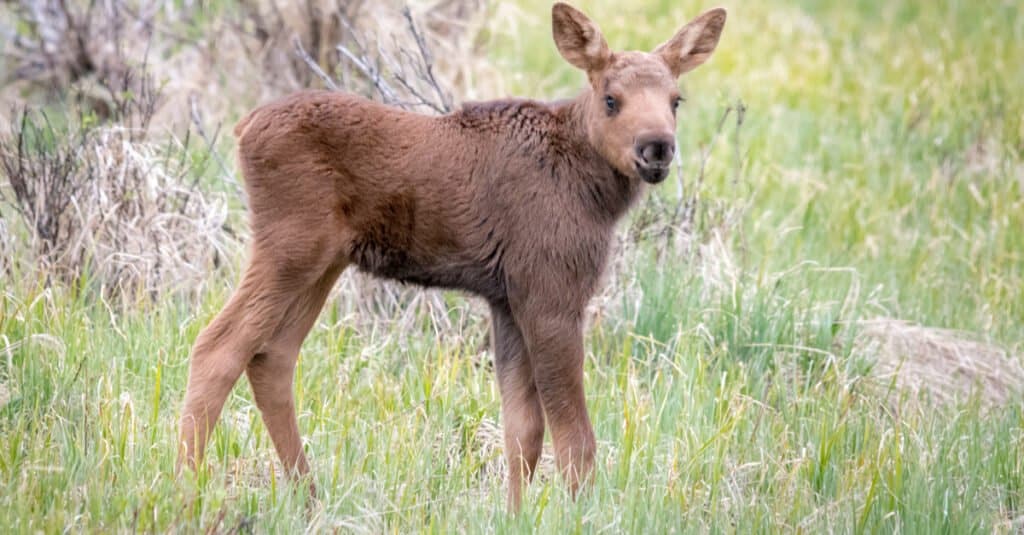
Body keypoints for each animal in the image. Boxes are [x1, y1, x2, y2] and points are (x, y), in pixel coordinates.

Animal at [182, 2, 729, 510]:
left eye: (675, 100)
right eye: (611, 98)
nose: (656, 147)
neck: (592, 190)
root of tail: (243, 128)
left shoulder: (506, 300)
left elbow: (523, 433)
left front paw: (515, 514)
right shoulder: (551, 291)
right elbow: (574, 438)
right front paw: (581, 513)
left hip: (322, 262)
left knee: (272, 357)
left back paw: (308, 495)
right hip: (290, 247)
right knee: (217, 348)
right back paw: (186, 487)